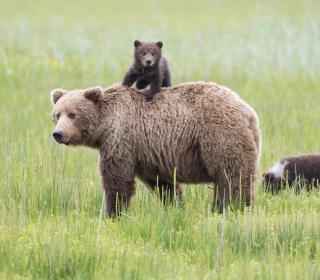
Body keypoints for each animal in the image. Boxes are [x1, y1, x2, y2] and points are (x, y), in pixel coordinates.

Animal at [49, 82, 260, 218]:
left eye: (72, 114)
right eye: (57, 114)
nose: (58, 133)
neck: (105, 125)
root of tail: (248, 112)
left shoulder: (121, 137)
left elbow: (116, 178)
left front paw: (113, 213)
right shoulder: (149, 152)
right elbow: (163, 183)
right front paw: (175, 207)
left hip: (219, 136)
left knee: (231, 177)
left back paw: (230, 209)